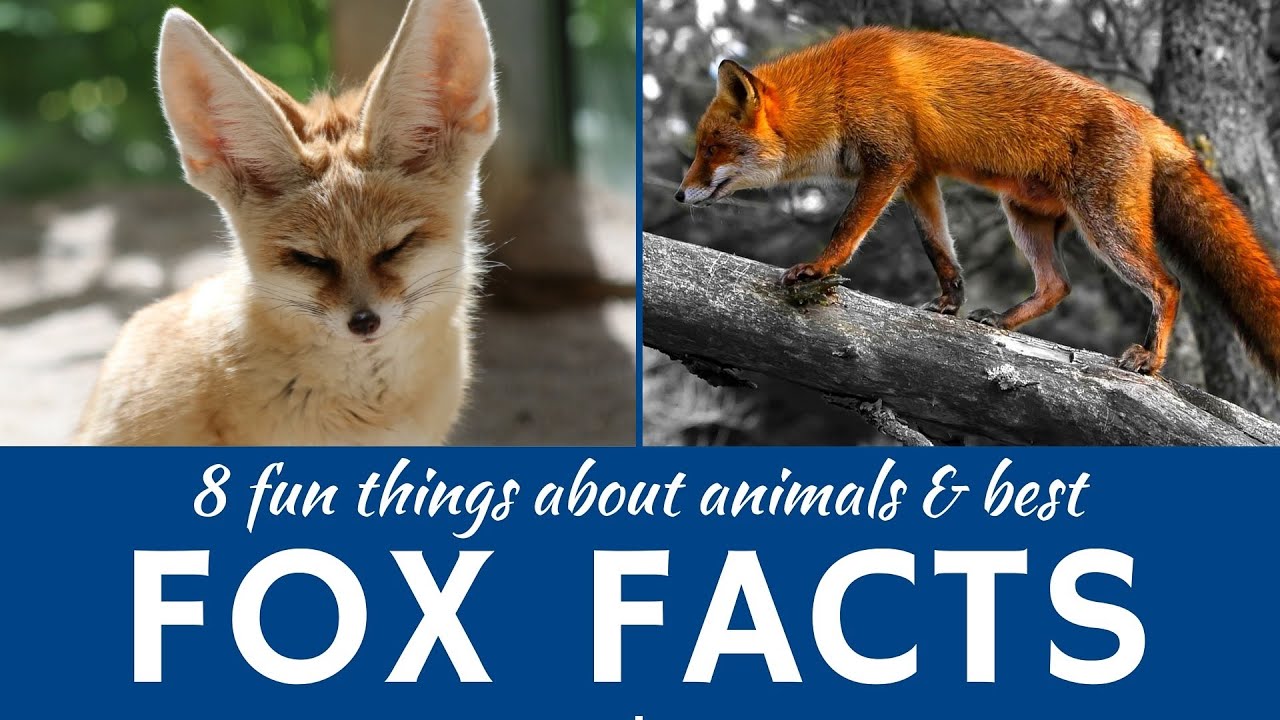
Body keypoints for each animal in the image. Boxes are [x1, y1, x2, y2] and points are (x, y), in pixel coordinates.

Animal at [675, 27, 1280, 381]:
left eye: (711, 149)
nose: (680, 193)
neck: (838, 89)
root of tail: (1148, 117)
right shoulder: (918, 174)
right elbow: (938, 248)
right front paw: (951, 303)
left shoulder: (889, 162)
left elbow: (846, 229)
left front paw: (820, 269)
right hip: (1025, 217)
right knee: (1057, 285)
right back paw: (1004, 323)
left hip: (1105, 227)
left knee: (1167, 284)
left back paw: (1149, 360)